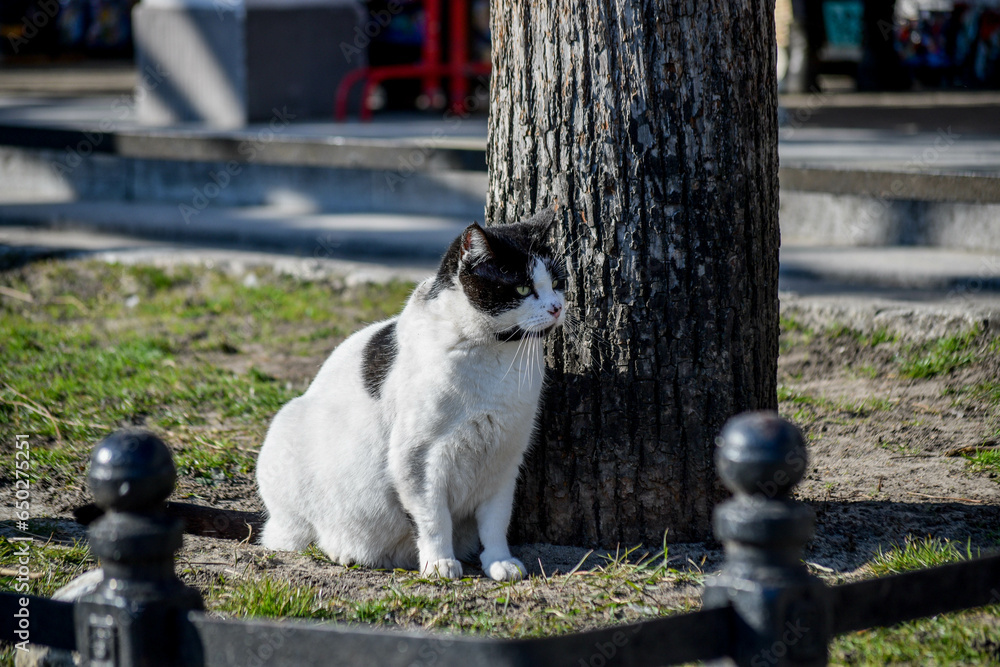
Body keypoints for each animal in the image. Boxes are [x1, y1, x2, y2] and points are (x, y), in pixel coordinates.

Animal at [254, 211, 568, 580]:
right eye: (522, 288)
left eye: (557, 283)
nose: (557, 307)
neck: (495, 357)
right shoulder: (418, 458)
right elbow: (433, 518)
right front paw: (439, 563)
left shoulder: (504, 457)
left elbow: (495, 520)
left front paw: (499, 561)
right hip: (286, 432)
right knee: (296, 536)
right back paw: (341, 549)